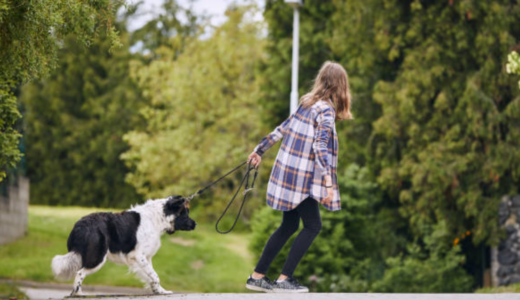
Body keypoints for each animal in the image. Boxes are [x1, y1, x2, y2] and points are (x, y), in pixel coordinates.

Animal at [50, 196, 195, 296]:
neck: (157, 218)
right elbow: (155, 276)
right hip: (98, 257)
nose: (195, 224)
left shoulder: (143, 258)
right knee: (80, 272)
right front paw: (159, 291)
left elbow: (151, 276)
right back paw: (78, 294)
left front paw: (159, 291)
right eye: (184, 213)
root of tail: (79, 225)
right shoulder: (140, 256)